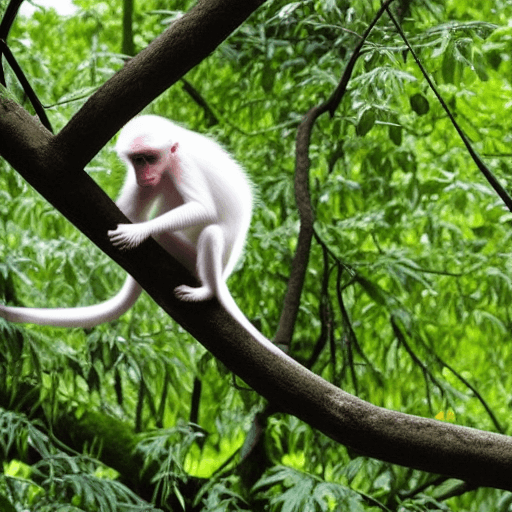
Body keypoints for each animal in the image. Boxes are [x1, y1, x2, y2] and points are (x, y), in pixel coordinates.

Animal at [0, 115, 280, 354]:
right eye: (137, 160)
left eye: (149, 158)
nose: (143, 174)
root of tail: (225, 272)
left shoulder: (182, 162)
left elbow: (203, 209)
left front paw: (138, 231)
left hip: (196, 261)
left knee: (208, 234)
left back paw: (207, 291)